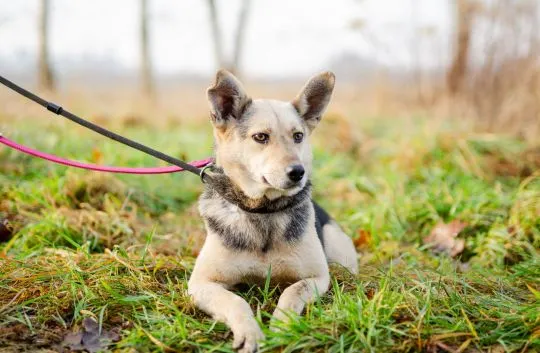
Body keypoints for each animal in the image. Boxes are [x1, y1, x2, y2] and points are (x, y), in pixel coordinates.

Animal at [187, 70, 358, 350]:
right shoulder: (201, 283)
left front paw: (283, 326)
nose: (298, 172)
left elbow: (291, 292)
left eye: (298, 136)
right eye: (260, 137)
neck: (262, 210)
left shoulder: (317, 277)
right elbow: (235, 301)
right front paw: (249, 332)